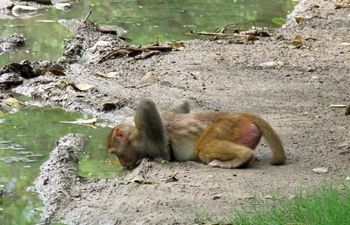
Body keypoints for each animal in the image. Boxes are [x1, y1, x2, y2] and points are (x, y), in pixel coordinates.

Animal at [108, 97, 286, 168]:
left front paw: (164, 155)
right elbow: (182, 104)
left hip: (227, 126)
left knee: (203, 148)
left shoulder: (144, 135)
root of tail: (241, 115)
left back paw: (241, 158)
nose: (122, 163)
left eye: (115, 153)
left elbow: (147, 104)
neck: (138, 141)